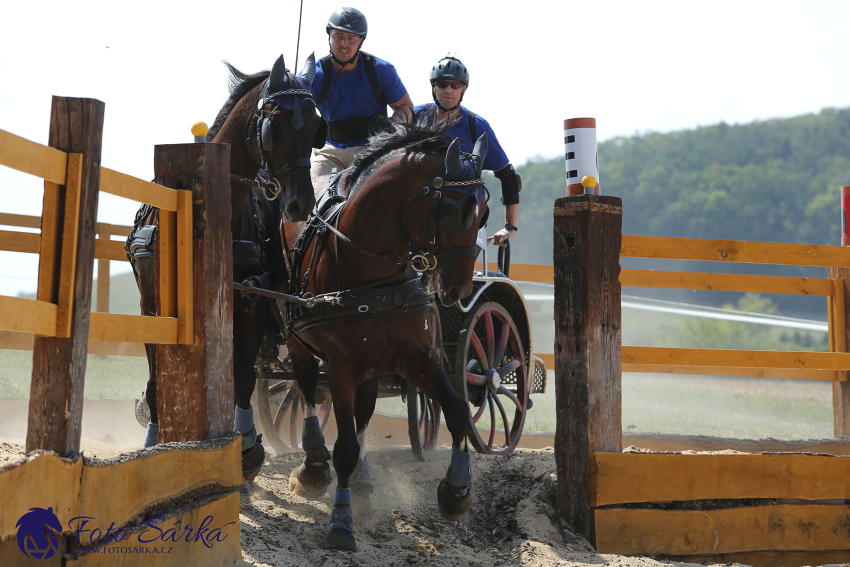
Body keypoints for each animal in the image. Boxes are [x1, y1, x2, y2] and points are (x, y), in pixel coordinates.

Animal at [129, 53, 324, 482]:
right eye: (276, 124)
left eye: (316, 128)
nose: (301, 204)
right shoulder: (151, 304)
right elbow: (156, 376)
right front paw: (153, 441)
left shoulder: (250, 297)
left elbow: (244, 377)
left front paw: (247, 448)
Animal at [278, 118, 490, 552]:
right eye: (451, 212)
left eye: (484, 212)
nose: (458, 289)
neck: (372, 274)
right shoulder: (340, 367)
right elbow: (341, 445)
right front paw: (341, 523)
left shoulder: (419, 357)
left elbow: (458, 411)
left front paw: (457, 491)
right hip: (299, 343)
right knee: (305, 390)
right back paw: (313, 465)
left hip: (372, 367)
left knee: (362, 413)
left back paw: (363, 477)